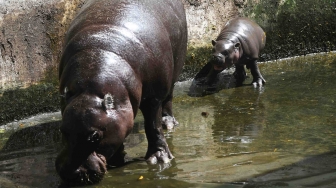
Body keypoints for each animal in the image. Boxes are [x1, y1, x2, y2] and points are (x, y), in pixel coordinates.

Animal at [55, 0, 186, 185]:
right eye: (62, 130)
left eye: (95, 136)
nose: (72, 173)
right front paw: (118, 157)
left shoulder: (153, 98)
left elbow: (153, 126)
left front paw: (160, 159)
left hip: (175, 69)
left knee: (169, 99)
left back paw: (168, 123)